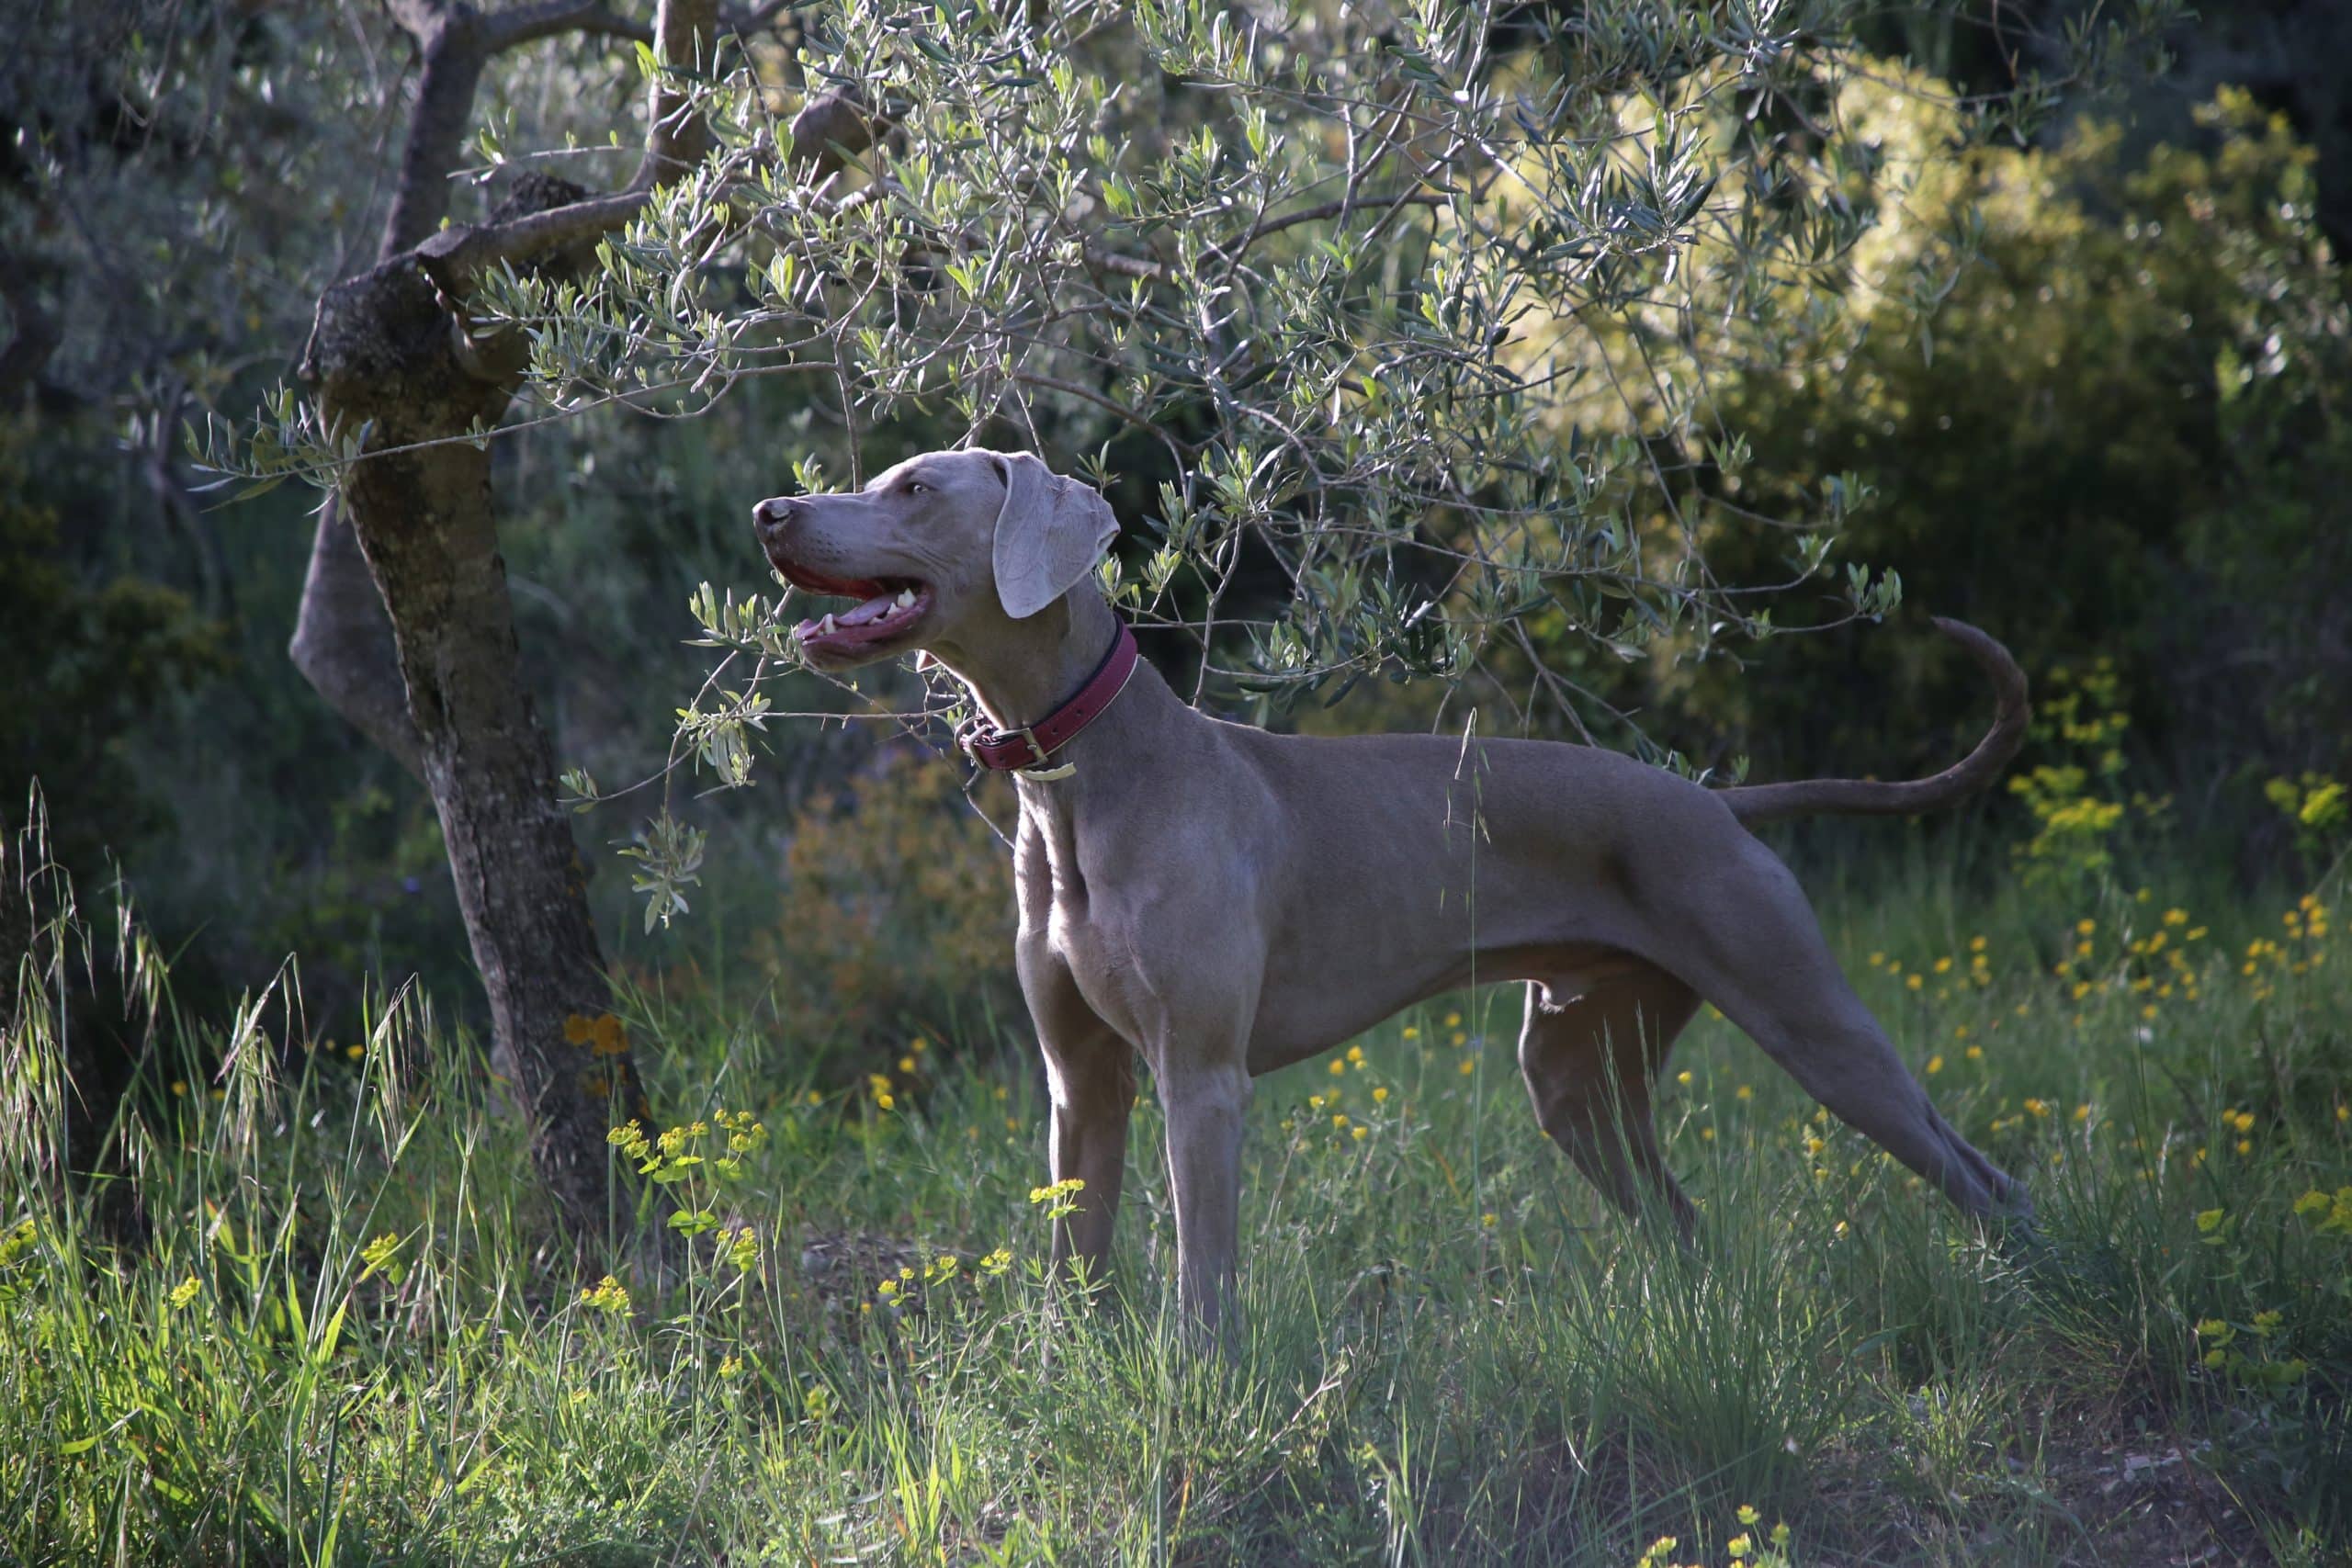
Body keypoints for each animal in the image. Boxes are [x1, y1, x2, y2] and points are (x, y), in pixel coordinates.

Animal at [752, 446, 2022, 1335]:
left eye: (916, 487)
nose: (771, 512)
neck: (1079, 776)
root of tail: (1719, 803)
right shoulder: (1081, 1082)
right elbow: (1080, 1263)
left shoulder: (1199, 1079)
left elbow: (1201, 1280)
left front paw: (1195, 1394)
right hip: (1574, 1073)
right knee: (1681, 1217)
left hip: (1810, 1019)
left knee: (1979, 1174)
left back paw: (2023, 1290)